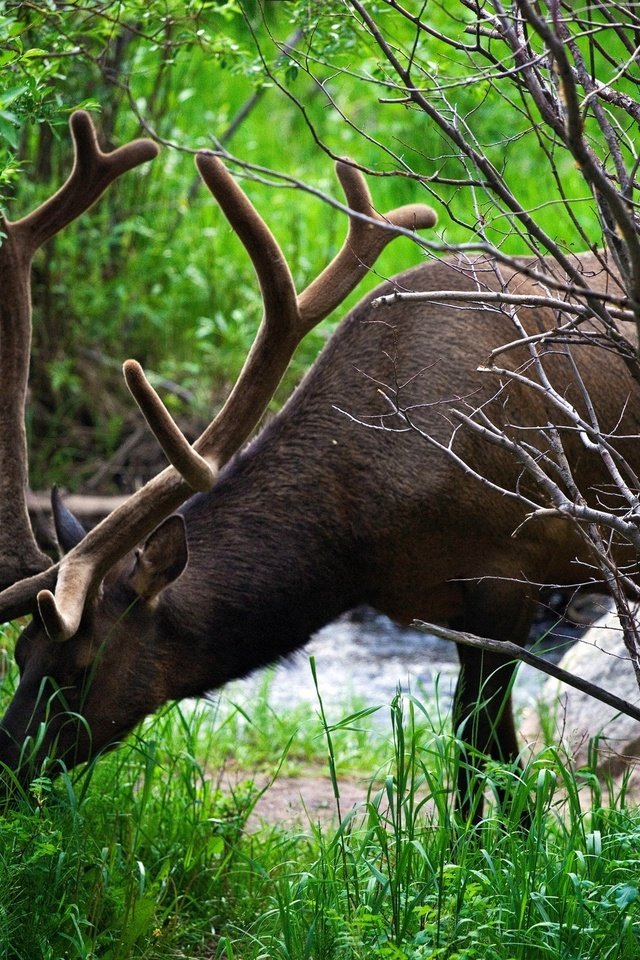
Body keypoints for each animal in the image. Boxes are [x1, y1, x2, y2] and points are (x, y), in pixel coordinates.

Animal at [0, 112, 636, 816]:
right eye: (21, 653)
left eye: (79, 668)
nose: (6, 765)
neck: (360, 537)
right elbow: (476, 752)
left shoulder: (509, 572)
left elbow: (487, 753)